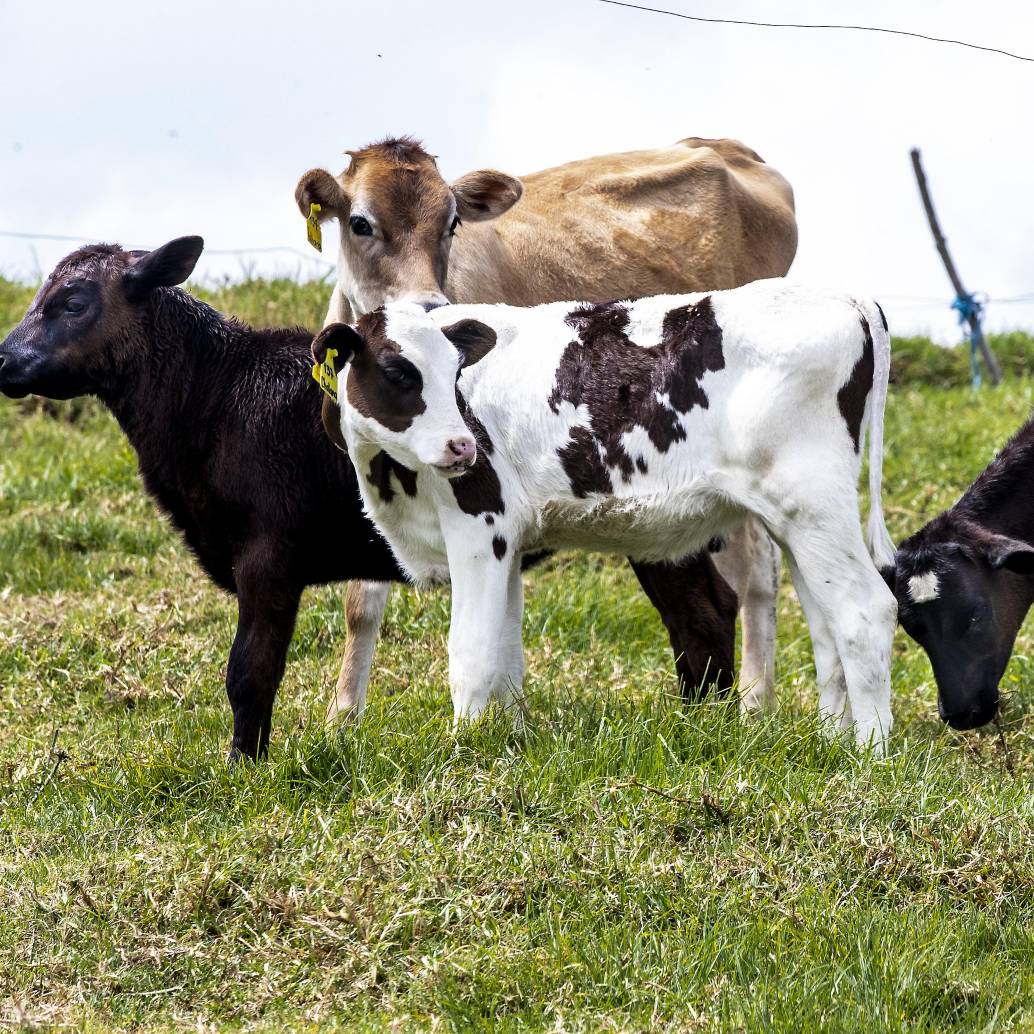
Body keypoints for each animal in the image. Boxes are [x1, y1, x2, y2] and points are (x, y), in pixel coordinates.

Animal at [2, 236, 744, 761]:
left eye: (72, 301)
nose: (5, 359)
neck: (216, 394)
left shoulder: (267, 557)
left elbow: (251, 671)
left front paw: (244, 766)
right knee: (712, 611)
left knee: (701, 618)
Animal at [295, 135, 794, 719]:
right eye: (360, 222)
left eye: (452, 222)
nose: (429, 307)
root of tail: (724, 147)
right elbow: (362, 601)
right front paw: (344, 713)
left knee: (758, 573)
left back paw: (756, 703)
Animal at [320, 283, 897, 748]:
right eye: (396, 371)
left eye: (456, 371)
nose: (463, 446)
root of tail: (844, 296)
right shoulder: (510, 542)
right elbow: (507, 656)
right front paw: (507, 740)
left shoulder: (481, 527)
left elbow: (473, 655)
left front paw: (464, 750)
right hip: (798, 522)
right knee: (826, 623)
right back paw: (831, 743)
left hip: (813, 503)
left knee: (864, 610)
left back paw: (870, 755)